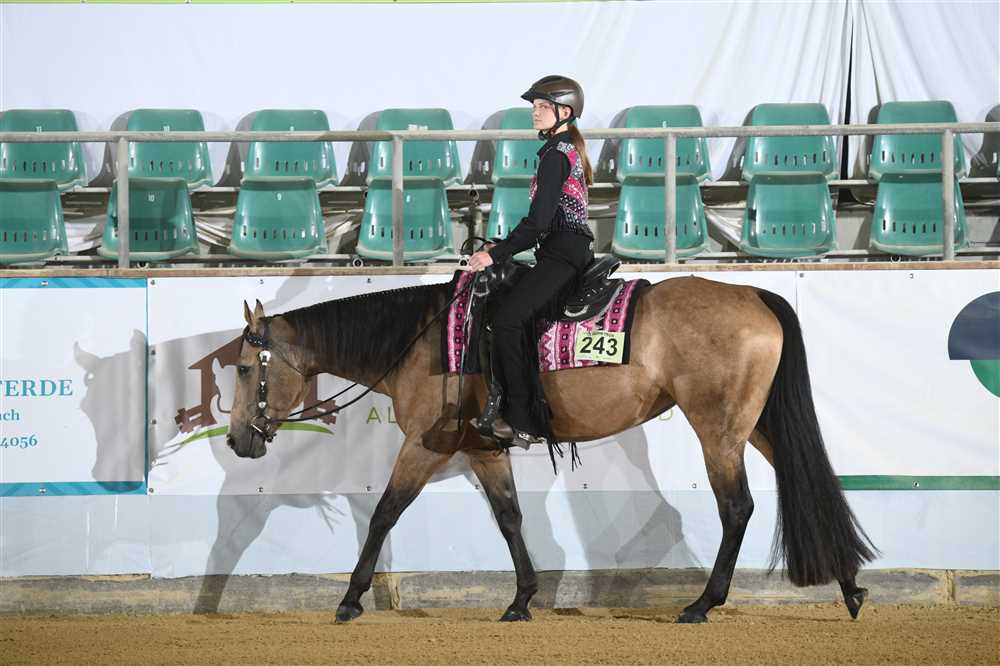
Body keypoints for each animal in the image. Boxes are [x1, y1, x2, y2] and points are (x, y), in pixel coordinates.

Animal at [225, 272, 876, 624]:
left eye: (242, 369)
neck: (424, 340)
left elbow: (386, 511)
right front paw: (521, 600)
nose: (236, 440)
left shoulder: (424, 445)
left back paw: (700, 604)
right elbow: (509, 517)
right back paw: (849, 585)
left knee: (736, 507)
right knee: (805, 480)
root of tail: (753, 294)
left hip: (717, 429)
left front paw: (350, 600)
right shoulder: (485, 449)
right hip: (753, 424)